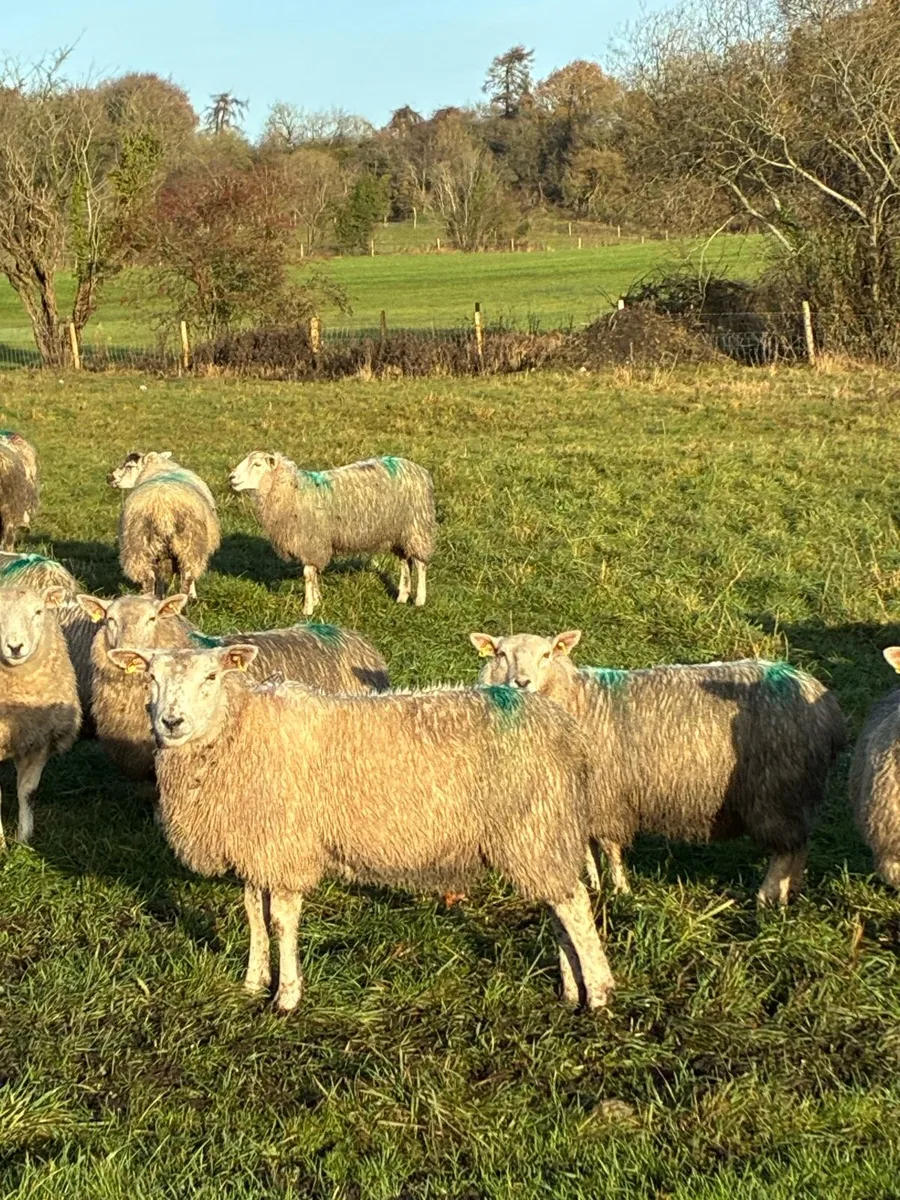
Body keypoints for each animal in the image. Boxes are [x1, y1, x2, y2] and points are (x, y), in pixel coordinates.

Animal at [105, 642, 615, 1013]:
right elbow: (252, 914)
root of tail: (565, 729)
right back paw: (572, 990)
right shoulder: (257, 846)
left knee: (574, 907)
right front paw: (253, 982)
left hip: (535, 828)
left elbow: (280, 920)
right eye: (151, 677)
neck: (239, 730)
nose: (171, 722)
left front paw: (287, 996)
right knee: (559, 909)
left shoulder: (286, 845)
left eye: (211, 678)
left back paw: (599, 994)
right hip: (540, 835)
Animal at [108, 451, 220, 599]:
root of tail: (163, 511)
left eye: (129, 466)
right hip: (187, 544)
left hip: (141, 547)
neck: (158, 467)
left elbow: (161, 577)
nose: (109, 478)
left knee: (152, 579)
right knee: (186, 576)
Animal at [229, 452, 436, 615]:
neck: (292, 491)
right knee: (405, 562)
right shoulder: (312, 545)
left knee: (420, 564)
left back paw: (419, 599)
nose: (231, 477)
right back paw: (402, 596)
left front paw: (308, 608)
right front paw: (317, 600)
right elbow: (312, 573)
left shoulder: (312, 541)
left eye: (257, 464)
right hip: (399, 532)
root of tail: (419, 470)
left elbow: (307, 574)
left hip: (416, 527)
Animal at [471, 631, 846, 906]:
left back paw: (768, 897)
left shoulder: (607, 797)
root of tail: (824, 701)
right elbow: (589, 851)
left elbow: (610, 849)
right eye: (500, 654)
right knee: (800, 844)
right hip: (796, 792)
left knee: (785, 849)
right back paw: (791, 891)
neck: (576, 699)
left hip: (778, 788)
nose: (521, 683)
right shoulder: (584, 801)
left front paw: (621, 890)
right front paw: (594, 886)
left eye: (547, 654)